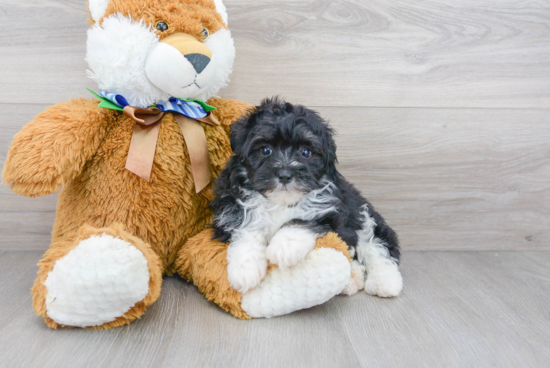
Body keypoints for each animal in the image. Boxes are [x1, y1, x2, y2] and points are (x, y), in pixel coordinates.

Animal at [209, 97, 404, 296]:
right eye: (265, 150)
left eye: (305, 152)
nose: (285, 174)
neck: (280, 201)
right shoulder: (232, 207)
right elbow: (246, 229)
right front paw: (244, 270)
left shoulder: (332, 212)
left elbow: (301, 220)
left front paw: (284, 247)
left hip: (363, 215)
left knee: (377, 246)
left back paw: (384, 282)